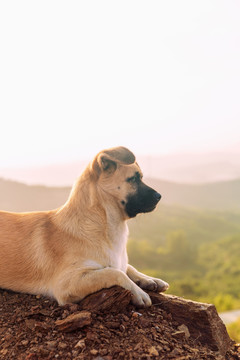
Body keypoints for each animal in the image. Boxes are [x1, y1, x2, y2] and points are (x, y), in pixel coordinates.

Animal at [0, 146, 169, 306]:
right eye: (133, 179)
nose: (159, 196)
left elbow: (126, 267)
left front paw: (149, 279)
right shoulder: (67, 284)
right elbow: (114, 272)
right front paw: (138, 292)